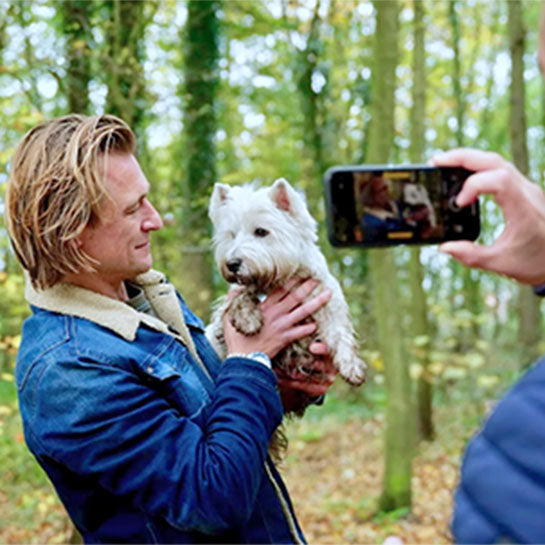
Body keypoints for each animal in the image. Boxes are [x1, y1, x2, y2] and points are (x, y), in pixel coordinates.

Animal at [206, 176, 368, 384]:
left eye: (261, 231)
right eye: (232, 235)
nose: (232, 264)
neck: (280, 278)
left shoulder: (327, 299)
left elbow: (340, 330)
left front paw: (352, 366)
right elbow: (239, 297)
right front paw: (247, 318)